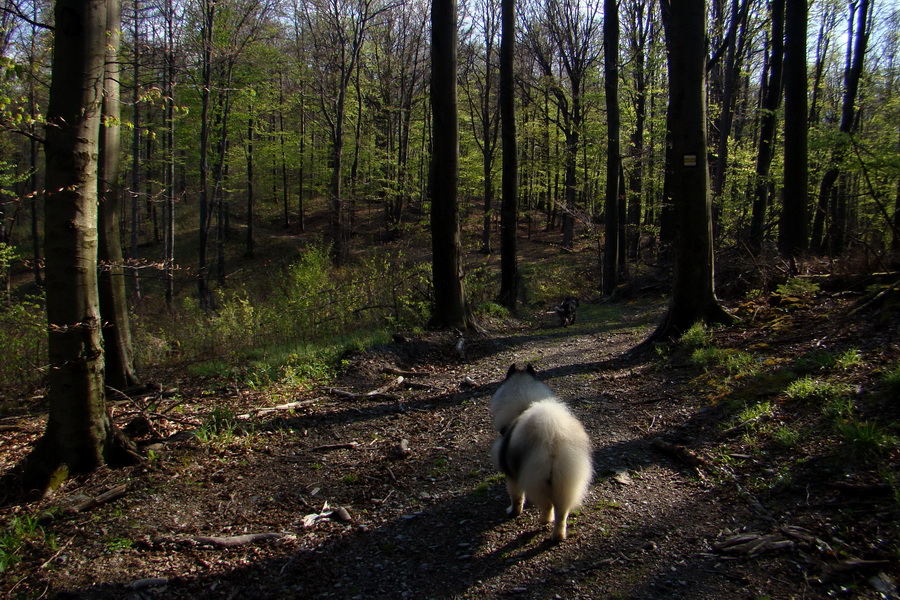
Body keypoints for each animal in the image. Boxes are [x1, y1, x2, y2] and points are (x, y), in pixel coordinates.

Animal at [488, 364, 596, 540]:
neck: (523, 408)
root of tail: (553, 444)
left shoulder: (512, 476)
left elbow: (516, 497)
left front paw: (513, 511)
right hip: (566, 483)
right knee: (561, 513)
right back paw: (558, 535)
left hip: (538, 482)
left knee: (547, 506)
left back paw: (544, 521)